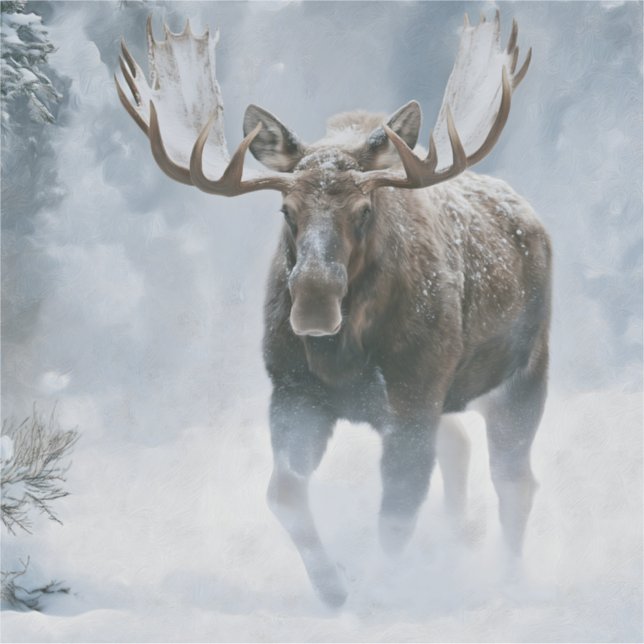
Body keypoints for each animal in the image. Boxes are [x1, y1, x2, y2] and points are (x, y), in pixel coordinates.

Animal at [116, 12, 550, 607]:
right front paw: (335, 586)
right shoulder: (294, 391)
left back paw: (506, 581)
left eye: (365, 209)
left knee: (515, 481)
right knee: (460, 446)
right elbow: (284, 493)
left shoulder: (414, 395)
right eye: (285, 209)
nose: (314, 306)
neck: (345, 357)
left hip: (524, 373)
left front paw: (377, 593)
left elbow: (397, 512)